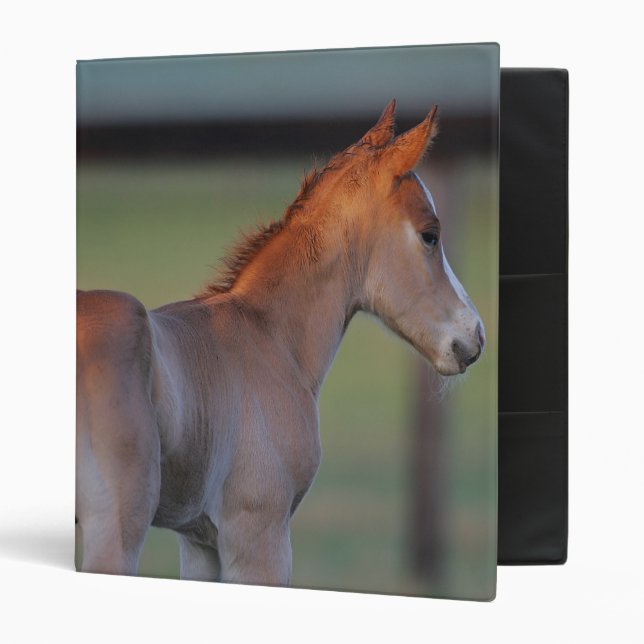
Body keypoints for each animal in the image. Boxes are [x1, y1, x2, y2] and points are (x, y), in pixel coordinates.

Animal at [76, 99, 485, 585]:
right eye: (430, 234)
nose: (474, 336)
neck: (268, 338)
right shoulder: (259, 534)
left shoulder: (199, 542)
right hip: (115, 525)